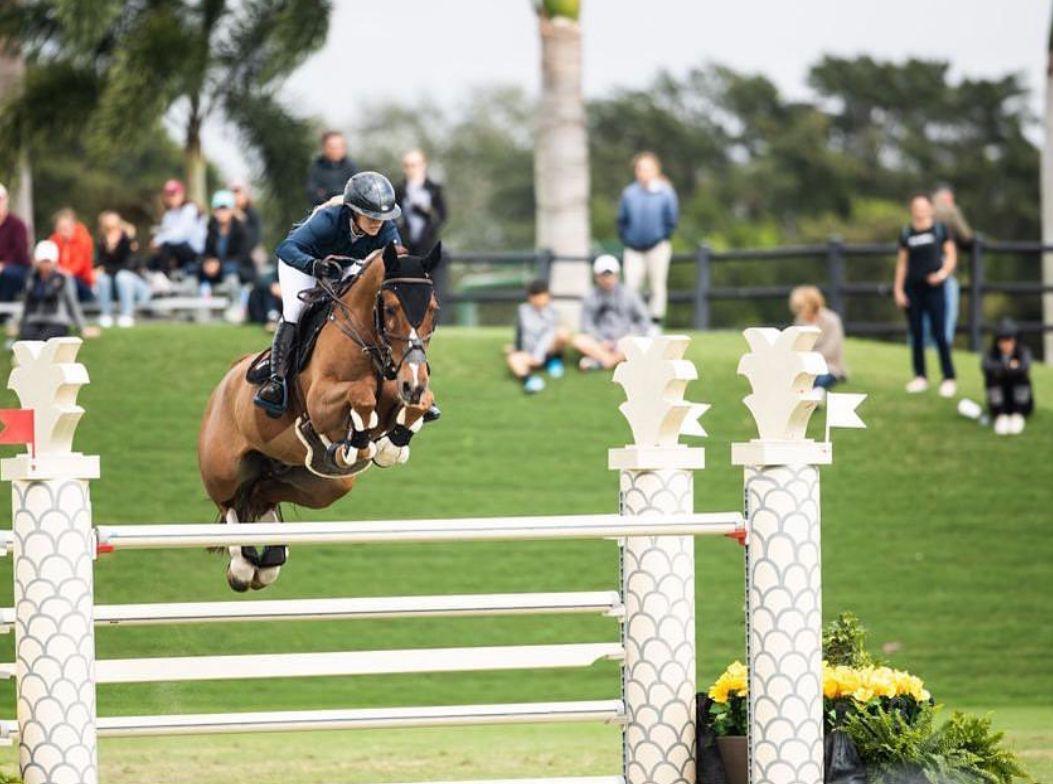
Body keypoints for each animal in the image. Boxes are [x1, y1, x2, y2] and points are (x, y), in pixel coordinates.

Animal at [198, 242, 441, 591]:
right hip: (223, 469)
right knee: (230, 503)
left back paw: (270, 559)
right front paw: (362, 443)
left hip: (324, 485)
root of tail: (223, 384)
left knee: (261, 493)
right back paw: (243, 567)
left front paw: (391, 446)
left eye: (433, 309)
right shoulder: (320, 404)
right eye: (392, 309)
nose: (414, 381)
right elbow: (361, 393)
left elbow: (419, 404)